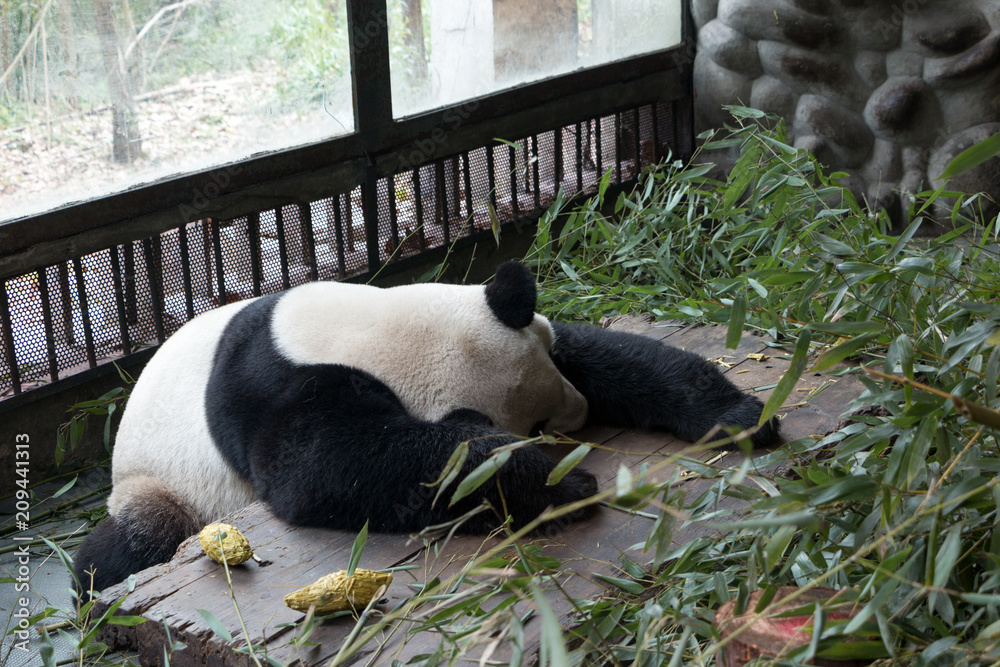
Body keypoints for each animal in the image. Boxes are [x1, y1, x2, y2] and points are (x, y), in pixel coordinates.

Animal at [74, 260, 776, 596]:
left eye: (555, 374)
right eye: (539, 422)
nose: (578, 418)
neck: (371, 331)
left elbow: (610, 354)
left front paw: (740, 416)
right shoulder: (276, 393)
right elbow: (327, 465)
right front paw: (555, 480)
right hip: (161, 483)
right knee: (129, 543)